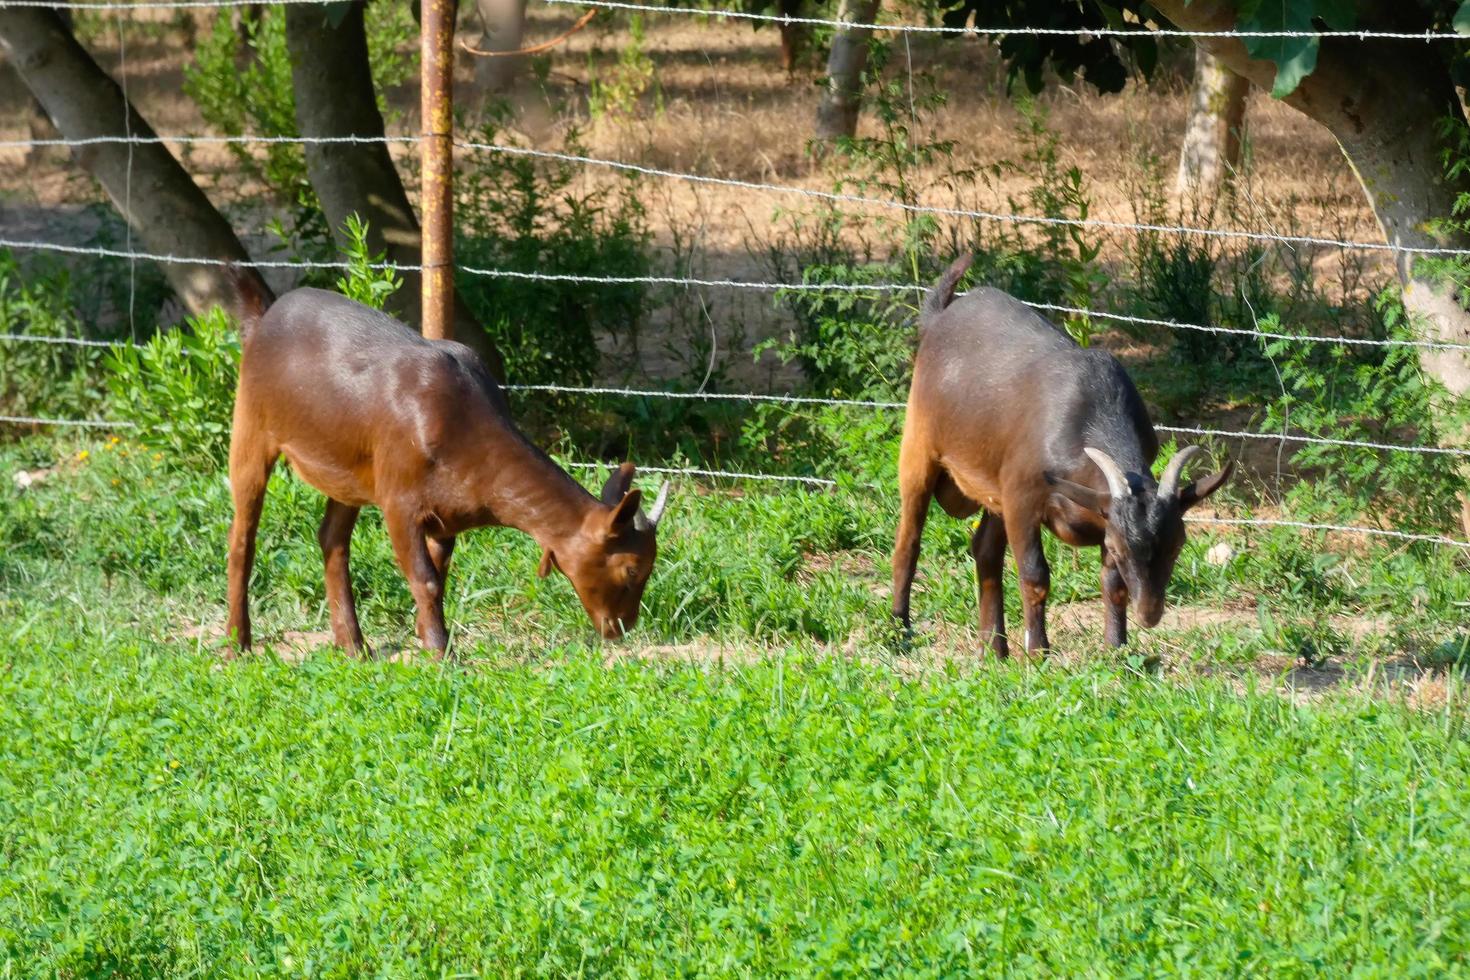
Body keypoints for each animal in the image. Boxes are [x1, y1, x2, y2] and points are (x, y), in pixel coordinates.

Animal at [226, 276, 670, 655]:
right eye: (632, 569)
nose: (622, 626)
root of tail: (264, 316)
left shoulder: (447, 514)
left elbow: (438, 575)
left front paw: (427, 638)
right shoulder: (399, 500)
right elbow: (424, 578)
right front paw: (442, 653)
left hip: (348, 468)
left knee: (332, 539)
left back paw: (353, 646)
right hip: (250, 422)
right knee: (243, 536)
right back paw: (238, 645)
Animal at [887, 257, 1234, 655]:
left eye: (1178, 545)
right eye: (1121, 550)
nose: (1149, 614)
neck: (1092, 415)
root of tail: (937, 318)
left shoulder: (1098, 514)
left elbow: (1113, 585)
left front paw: (1116, 649)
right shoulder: (1021, 498)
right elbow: (1035, 575)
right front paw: (1039, 652)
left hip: (991, 487)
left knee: (984, 549)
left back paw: (994, 649)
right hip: (919, 449)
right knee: (908, 541)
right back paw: (899, 629)